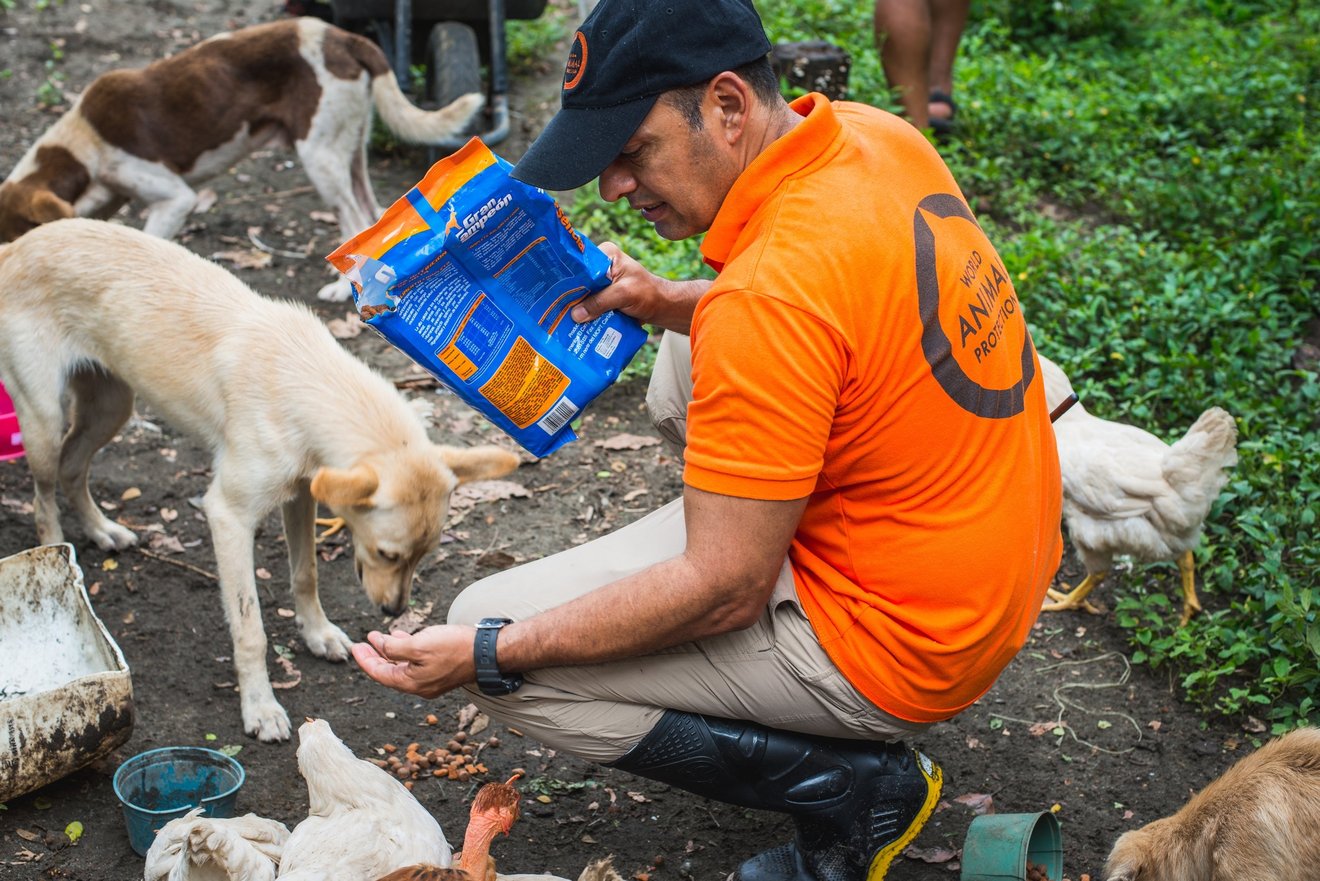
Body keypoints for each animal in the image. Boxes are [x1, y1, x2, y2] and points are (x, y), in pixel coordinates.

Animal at [0, 14, 485, 299]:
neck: (81, 148)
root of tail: (345, 37)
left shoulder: (174, 198)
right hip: (350, 148)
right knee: (370, 213)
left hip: (320, 156)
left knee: (350, 217)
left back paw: (339, 290)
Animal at [0, 216, 520, 739]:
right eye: (386, 554)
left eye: (423, 556)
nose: (394, 612)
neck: (303, 380)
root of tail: (18, 244)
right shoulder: (228, 516)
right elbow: (250, 628)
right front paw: (260, 706)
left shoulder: (301, 495)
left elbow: (306, 574)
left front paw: (318, 634)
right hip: (45, 423)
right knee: (43, 497)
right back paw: (58, 566)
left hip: (111, 407)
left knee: (73, 467)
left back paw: (102, 530)